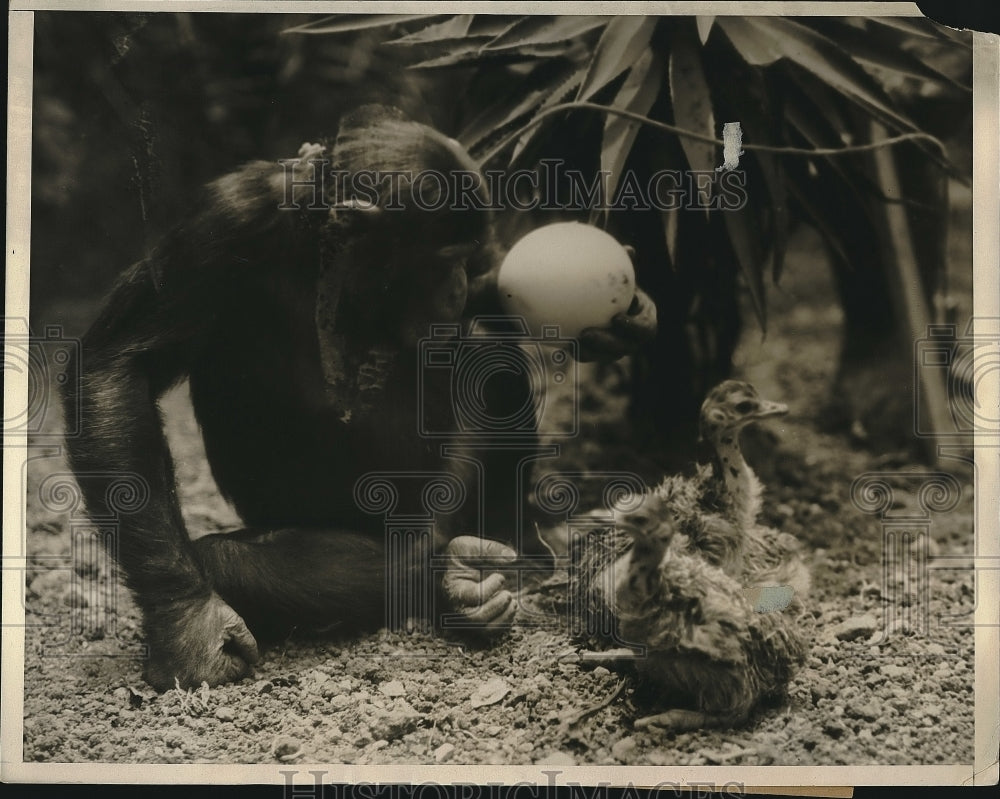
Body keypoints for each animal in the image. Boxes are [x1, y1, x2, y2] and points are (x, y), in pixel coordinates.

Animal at [62, 105, 658, 690]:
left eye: (465, 257)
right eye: (441, 257)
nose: (456, 287)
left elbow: (496, 291)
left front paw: (620, 323)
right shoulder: (225, 220)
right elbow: (121, 364)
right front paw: (190, 623)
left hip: (436, 500)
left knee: (488, 349)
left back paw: (498, 555)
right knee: (231, 558)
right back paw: (451, 585)